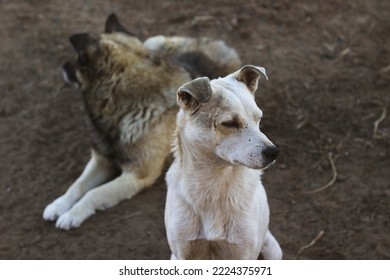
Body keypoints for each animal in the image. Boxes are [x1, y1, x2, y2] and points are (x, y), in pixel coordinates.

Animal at [41, 13, 239, 230]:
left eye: (78, 60)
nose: (63, 66)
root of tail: (216, 44)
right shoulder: (101, 160)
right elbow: (78, 185)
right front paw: (58, 205)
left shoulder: (137, 175)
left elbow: (94, 193)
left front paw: (72, 214)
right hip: (152, 42)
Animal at [165, 64, 284, 260]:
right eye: (230, 123)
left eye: (258, 118)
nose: (274, 152)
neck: (215, 183)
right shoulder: (183, 252)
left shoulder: (244, 253)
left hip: (273, 249)